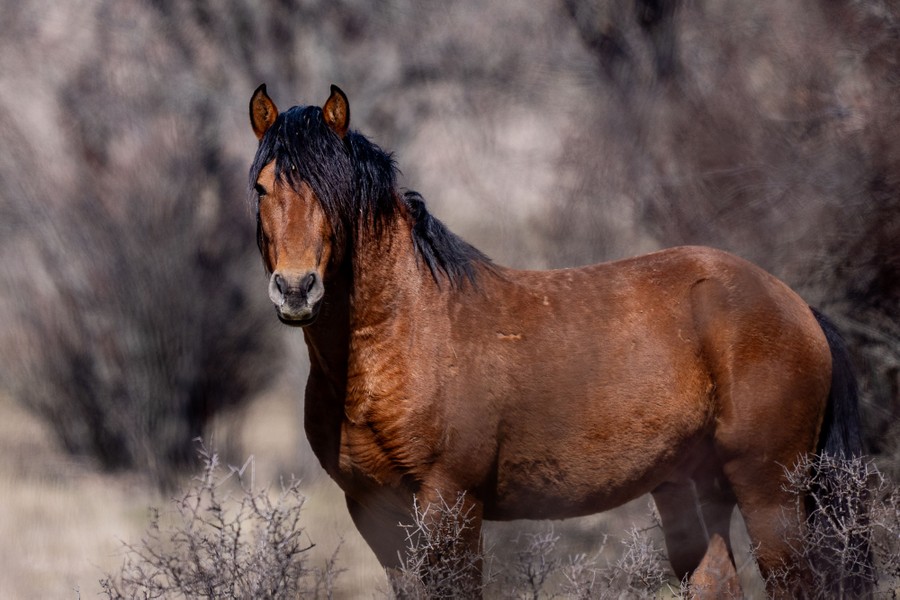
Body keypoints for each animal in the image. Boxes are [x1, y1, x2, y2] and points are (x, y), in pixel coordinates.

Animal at [247, 84, 865, 597]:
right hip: (694, 486)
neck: (406, 335)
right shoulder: (376, 513)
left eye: (337, 190)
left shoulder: (451, 505)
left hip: (770, 494)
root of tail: (794, 304)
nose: (296, 289)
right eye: (261, 187)